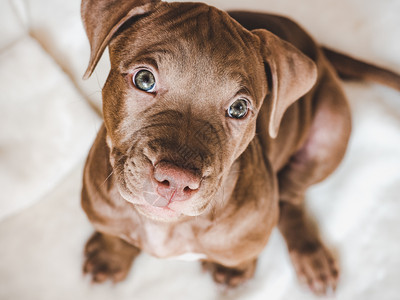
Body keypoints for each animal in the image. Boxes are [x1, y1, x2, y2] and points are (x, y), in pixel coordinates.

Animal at [80, 0, 400, 296]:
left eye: (238, 108)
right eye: (144, 79)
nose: (177, 180)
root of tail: (317, 50)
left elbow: (245, 252)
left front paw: (234, 269)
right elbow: (113, 233)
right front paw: (110, 255)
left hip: (332, 130)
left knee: (290, 196)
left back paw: (310, 253)